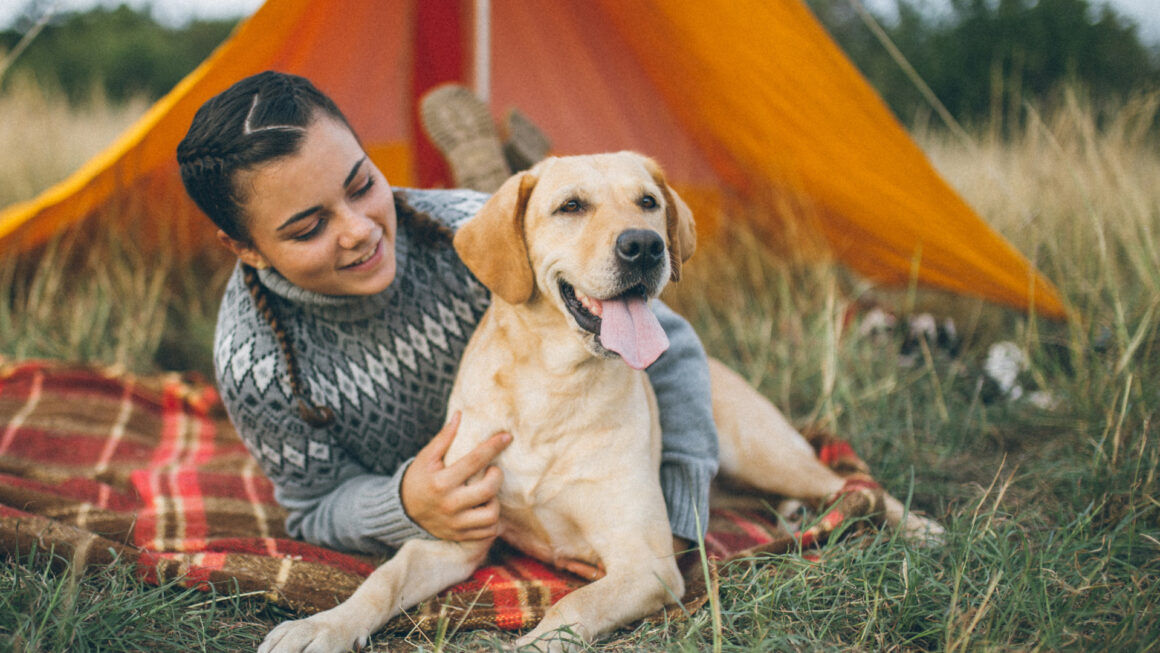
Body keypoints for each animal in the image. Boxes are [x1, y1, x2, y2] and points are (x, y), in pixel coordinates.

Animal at [258, 151, 937, 653]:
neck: (552, 388)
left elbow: (574, 604)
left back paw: (917, 527)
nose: (644, 245)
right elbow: (381, 579)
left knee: (849, 484)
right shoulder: (454, 535)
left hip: (765, 453)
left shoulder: (646, 563)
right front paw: (321, 626)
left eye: (648, 202)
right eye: (571, 206)